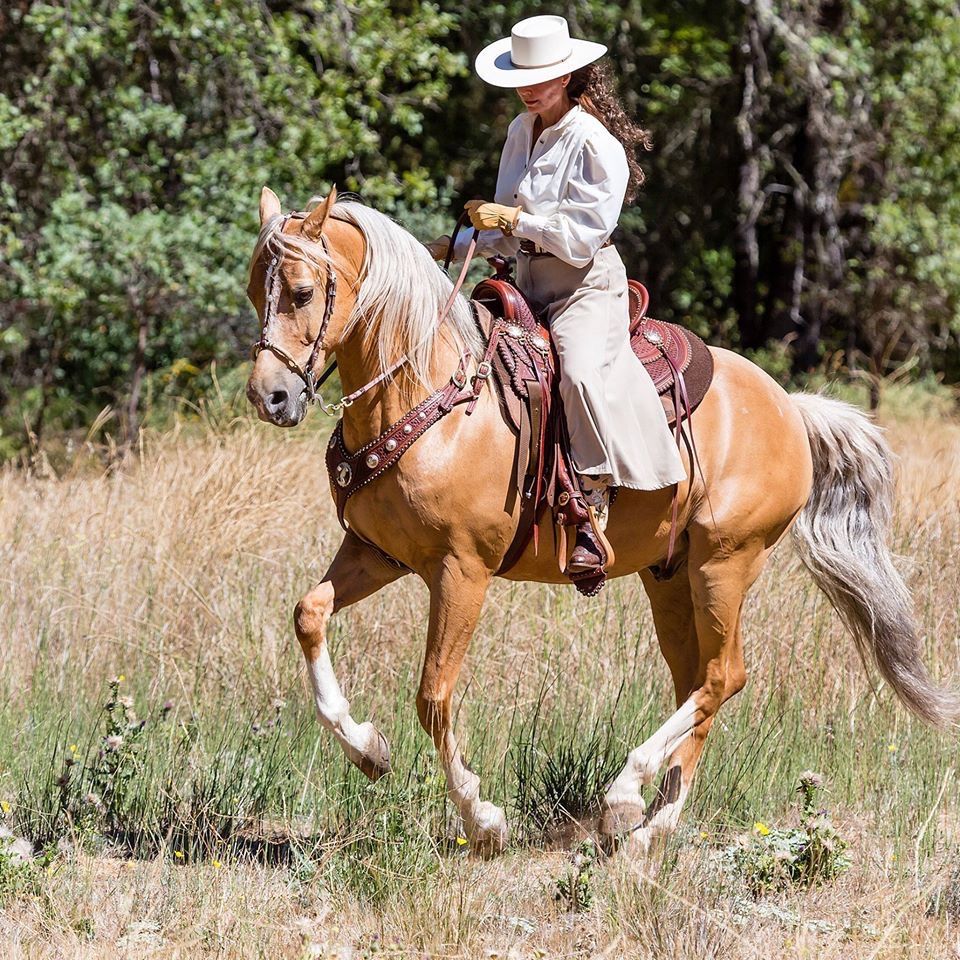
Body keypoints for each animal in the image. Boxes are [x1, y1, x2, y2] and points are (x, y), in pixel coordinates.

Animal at [245, 186, 959, 856]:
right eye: (257, 289)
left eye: (303, 292)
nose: (268, 396)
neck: (433, 396)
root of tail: (789, 405)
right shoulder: (377, 552)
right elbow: (309, 614)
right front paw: (367, 749)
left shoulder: (461, 571)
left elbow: (434, 696)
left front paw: (483, 820)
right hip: (670, 577)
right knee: (698, 681)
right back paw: (649, 823)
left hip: (725, 562)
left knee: (724, 675)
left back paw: (626, 793)